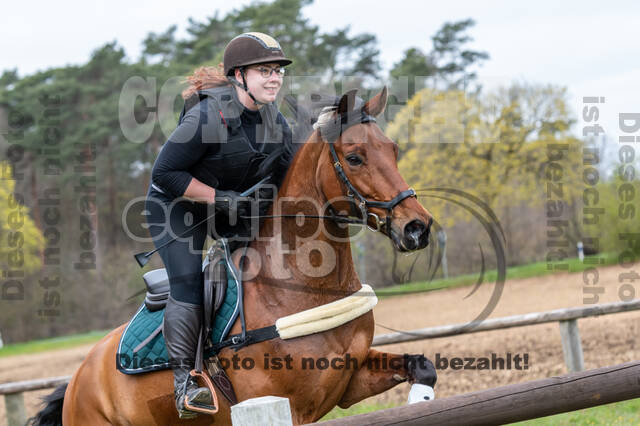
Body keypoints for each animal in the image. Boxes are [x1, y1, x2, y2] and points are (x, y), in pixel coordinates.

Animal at [32, 86, 438, 426]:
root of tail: (78, 379)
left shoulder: (350, 380)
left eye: (393, 150)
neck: (301, 286)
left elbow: (423, 366)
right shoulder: (283, 407)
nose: (417, 227)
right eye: (354, 158)